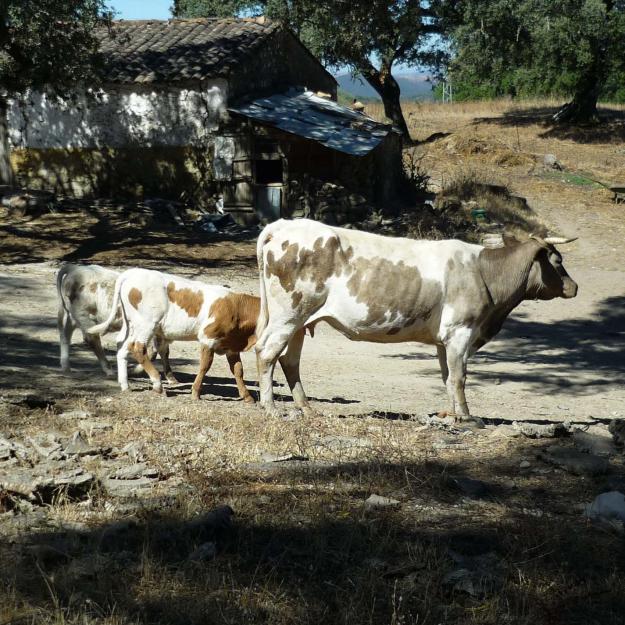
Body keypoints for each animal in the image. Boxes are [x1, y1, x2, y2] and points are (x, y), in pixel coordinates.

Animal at [86, 268, 258, 400]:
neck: (236, 306)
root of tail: (131, 273)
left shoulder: (232, 345)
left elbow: (238, 370)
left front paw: (247, 396)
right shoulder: (207, 338)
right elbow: (205, 365)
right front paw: (195, 393)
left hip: (131, 324)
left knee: (122, 345)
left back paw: (125, 385)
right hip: (147, 324)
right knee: (138, 348)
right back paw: (157, 384)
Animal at [252, 218, 576, 420]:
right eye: (558, 261)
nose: (574, 287)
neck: (485, 272)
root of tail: (283, 225)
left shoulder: (445, 340)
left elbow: (447, 377)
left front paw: (452, 415)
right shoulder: (461, 331)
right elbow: (459, 377)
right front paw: (468, 417)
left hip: (300, 320)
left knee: (289, 360)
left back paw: (307, 408)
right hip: (288, 314)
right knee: (266, 351)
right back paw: (271, 408)